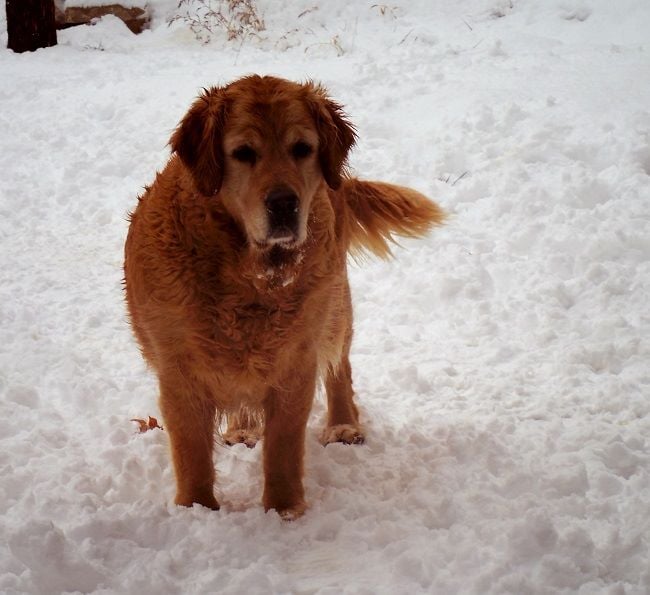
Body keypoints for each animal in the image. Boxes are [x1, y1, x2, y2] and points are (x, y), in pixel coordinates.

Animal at [124, 74, 442, 520]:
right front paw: (197, 509)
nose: (284, 204)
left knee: (340, 365)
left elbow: (283, 447)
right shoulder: (179, 370)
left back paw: (343, 424)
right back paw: (241, 429)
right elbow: (191, 451)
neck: (249, 273)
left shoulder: (295, 360)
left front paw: (283, 512)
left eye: (302, 149)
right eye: (243, 153)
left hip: (334, 304)